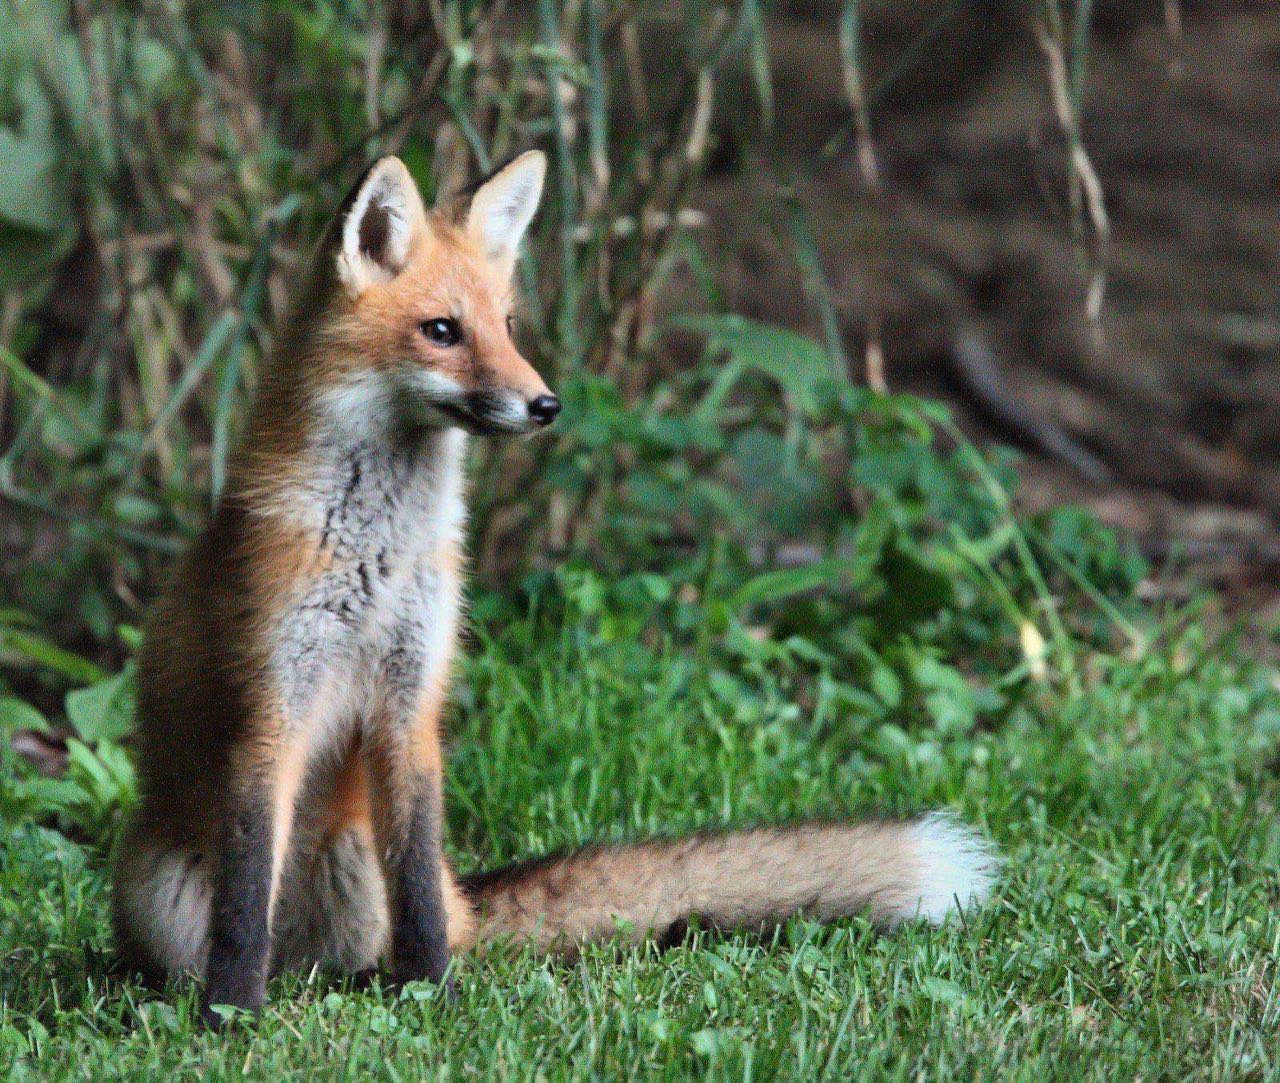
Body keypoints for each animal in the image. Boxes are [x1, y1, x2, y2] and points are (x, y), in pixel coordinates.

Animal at [111, 149, 998, 1026]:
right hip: (161, 887)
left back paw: (383, 982)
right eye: (442, 331)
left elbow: (417, 891)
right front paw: (231, 1013)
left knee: (407, 922)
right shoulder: (274, 703)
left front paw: (435, 998)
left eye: (506, 326)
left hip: (356, 863)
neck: (379, 551)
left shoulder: (411, 702)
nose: (546, 404)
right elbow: (245, 897)